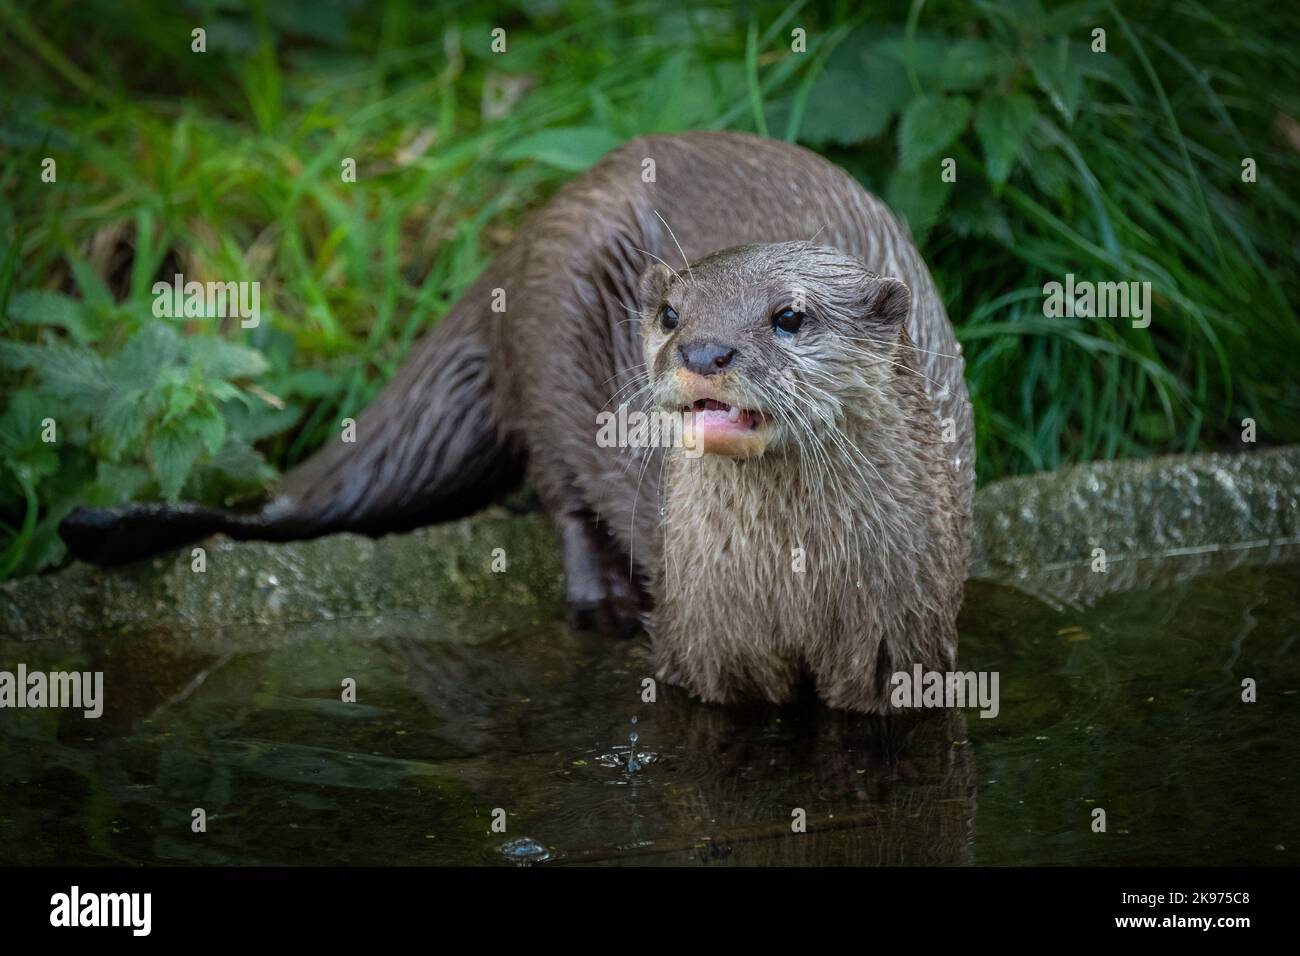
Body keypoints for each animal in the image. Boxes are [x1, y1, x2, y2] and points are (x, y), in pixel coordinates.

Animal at [61, 128, 977, 712]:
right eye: (671, 313)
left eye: (789, 316)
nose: (704, 349)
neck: (796, 598)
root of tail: (535, 226)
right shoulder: (700, 647)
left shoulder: (911, 647)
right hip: (548, 342)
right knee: (558, 485)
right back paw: (601, 601)